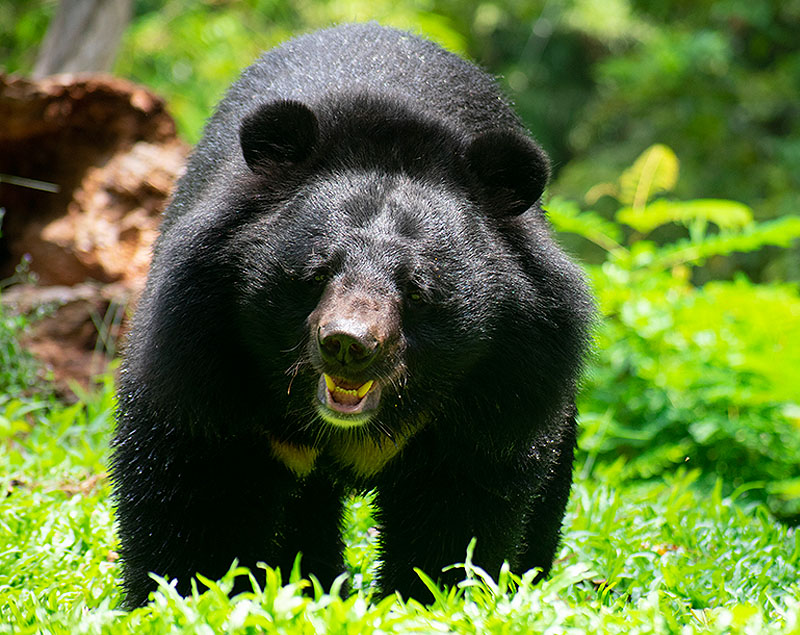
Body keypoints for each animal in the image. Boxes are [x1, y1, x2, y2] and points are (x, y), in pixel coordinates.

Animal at [110, 22, 594, 609]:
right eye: (317, 273)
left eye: (417, 291)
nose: (348, 343)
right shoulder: (201, 346)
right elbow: (197, 483)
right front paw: (182, 597)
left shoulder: (507, 379)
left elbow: (459, 511)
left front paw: (433, 600)